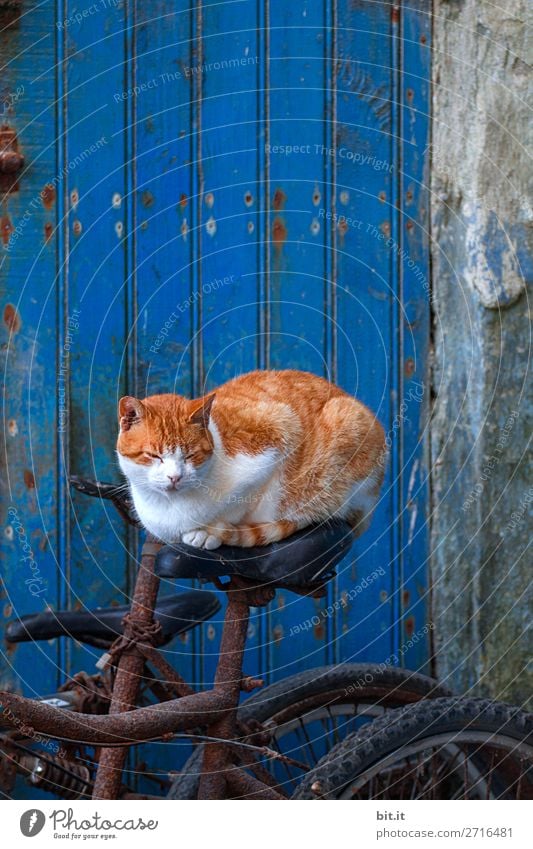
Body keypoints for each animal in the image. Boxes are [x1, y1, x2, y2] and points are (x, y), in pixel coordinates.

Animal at [116, 372, 384, 548]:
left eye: (191, 454)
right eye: (154, 456)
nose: (174, 477)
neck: (168, 506)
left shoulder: (280, 430)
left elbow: (244, 503)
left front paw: (211, 533)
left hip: (346, 424)